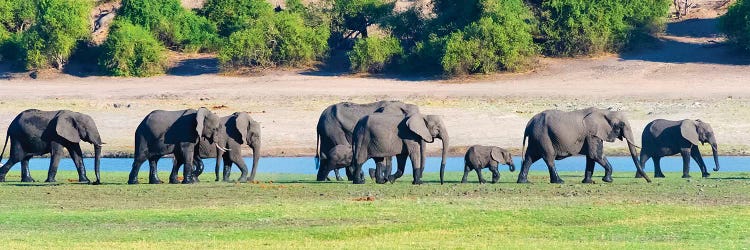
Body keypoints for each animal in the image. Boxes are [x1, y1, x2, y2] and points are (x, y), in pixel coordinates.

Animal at [516, 107, 652, 184]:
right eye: (622, 125)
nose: (649, 181)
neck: (606, 112)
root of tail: (528, 123)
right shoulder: (593, 133)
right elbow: (596, 155)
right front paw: (608, 180)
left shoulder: (592, 135)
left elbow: (591, 158)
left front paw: (588, 182)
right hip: (543, 135)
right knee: (549, 158)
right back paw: (559, 182)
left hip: (536, 137)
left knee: (530, 158)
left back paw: (523, 182)